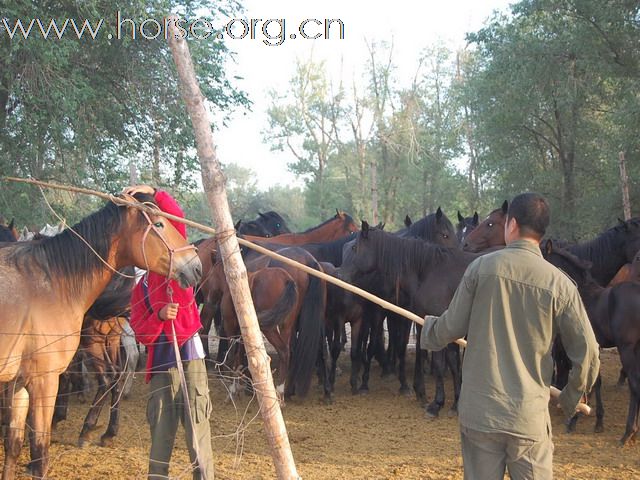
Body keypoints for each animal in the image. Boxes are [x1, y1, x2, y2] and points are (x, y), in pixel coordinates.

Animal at [0, 195, 200, 480]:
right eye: (159, 224)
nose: (196, 265)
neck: (52, 281)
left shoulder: (29, 380)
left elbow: (24, 446)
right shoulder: (34, 380)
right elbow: (24, 448)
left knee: (114, 374)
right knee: (115, 374)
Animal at [544, 242, 640, 444]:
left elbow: (583, 379)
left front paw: (574, 419)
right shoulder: (595, 348)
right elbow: (596, 381)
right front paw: (598, 422)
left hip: (627, 349)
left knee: (635, 385)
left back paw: (628, 433)